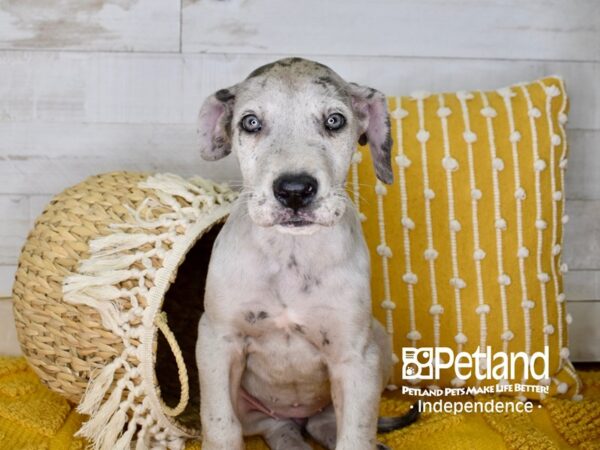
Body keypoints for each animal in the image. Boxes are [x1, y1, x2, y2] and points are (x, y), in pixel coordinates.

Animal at [197, 57, 418, 450]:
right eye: (250, 122)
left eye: (335, 120)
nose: (295, 190)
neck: (291, 251)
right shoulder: (216, 341)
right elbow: (221, 426)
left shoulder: (356, 358)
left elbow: (355, 435)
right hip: (257, 409)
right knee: (278, 428)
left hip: (379, 340)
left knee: (323, 424)